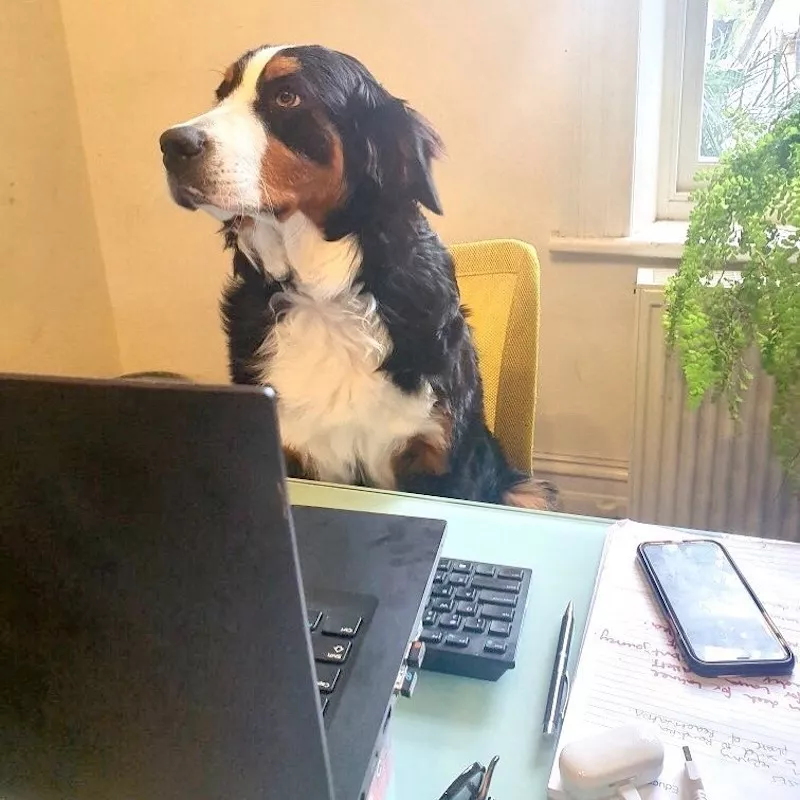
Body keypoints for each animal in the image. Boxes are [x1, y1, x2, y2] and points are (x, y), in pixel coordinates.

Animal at [156, 43, 556, 510]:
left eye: (287, 96)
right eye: (221, 94)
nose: (171, 143)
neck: (324, 295)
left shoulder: (439, 457)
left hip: (526, 491)